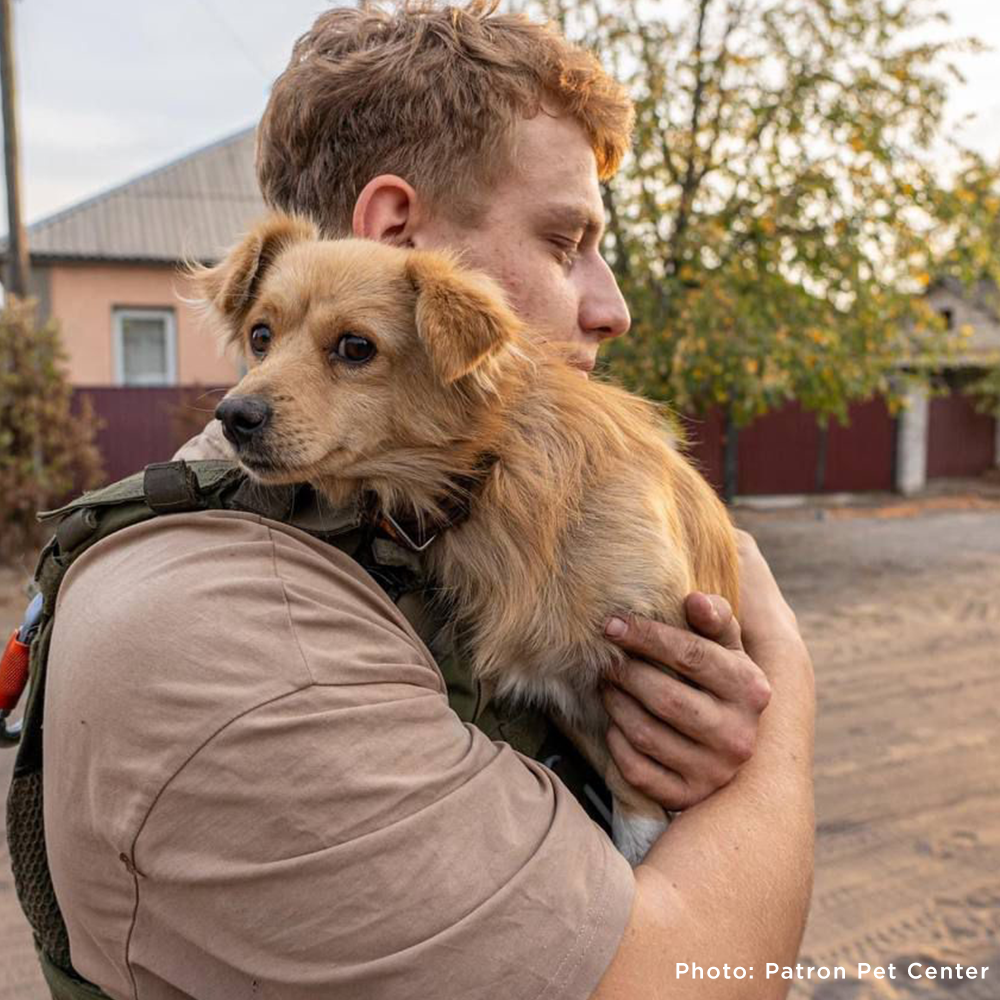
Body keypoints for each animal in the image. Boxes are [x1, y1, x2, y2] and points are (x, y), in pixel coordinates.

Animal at [195, 215, 744, 864]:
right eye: (260, 336)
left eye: (356, 347)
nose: (235, 416)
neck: (489, 471)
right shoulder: (559, 682)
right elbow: (626, 790)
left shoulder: (653, 649)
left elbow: (639, 794)